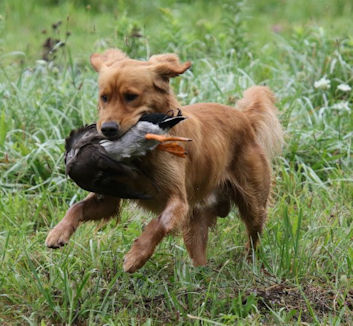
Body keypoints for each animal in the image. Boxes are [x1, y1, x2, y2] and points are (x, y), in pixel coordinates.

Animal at [45, 49, 282, 272]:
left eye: (131, 96)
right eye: (104, 97)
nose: (107, 129)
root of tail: (244, 118)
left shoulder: (178, 201)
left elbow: (159, 223)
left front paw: (136, 256)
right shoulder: (109, 195)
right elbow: (77, 207)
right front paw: (58, 232)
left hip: (253, 203)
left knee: (254, 235)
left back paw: (249, 262)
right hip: (195, 225)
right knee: (200, 255)